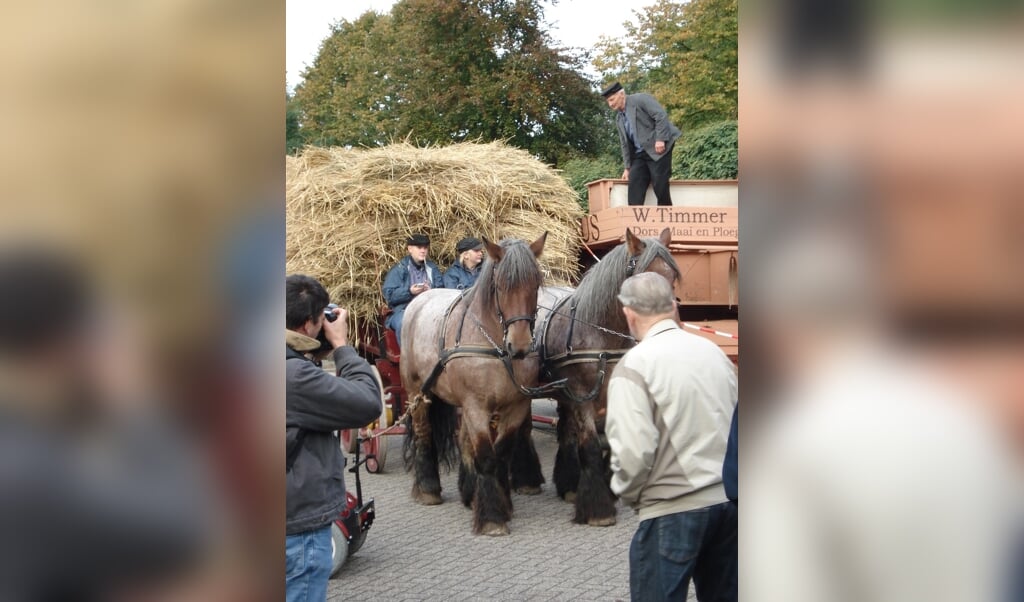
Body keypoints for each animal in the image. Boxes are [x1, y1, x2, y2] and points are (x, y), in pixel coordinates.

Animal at [397, 231, 552, 536]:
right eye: (501, 286)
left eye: (535, 283)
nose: (520, 345)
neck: (495, 345)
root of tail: (422, 297)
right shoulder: (476, 406)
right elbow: (487, 457)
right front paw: (492, 517)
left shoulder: (515, 406)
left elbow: (501, 455)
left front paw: (501, 503)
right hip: (417, 392)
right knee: (423, 433)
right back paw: (428, 489)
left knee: (462, 439)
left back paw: (469, 492)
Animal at [512, 228, 679, 524]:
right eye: (644, 277)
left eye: (672, 277)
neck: (600, 334)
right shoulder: (582, 395)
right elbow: (590, 444)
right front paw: (598, 509)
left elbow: (609, 442)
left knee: (565, 430)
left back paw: (567, 484)